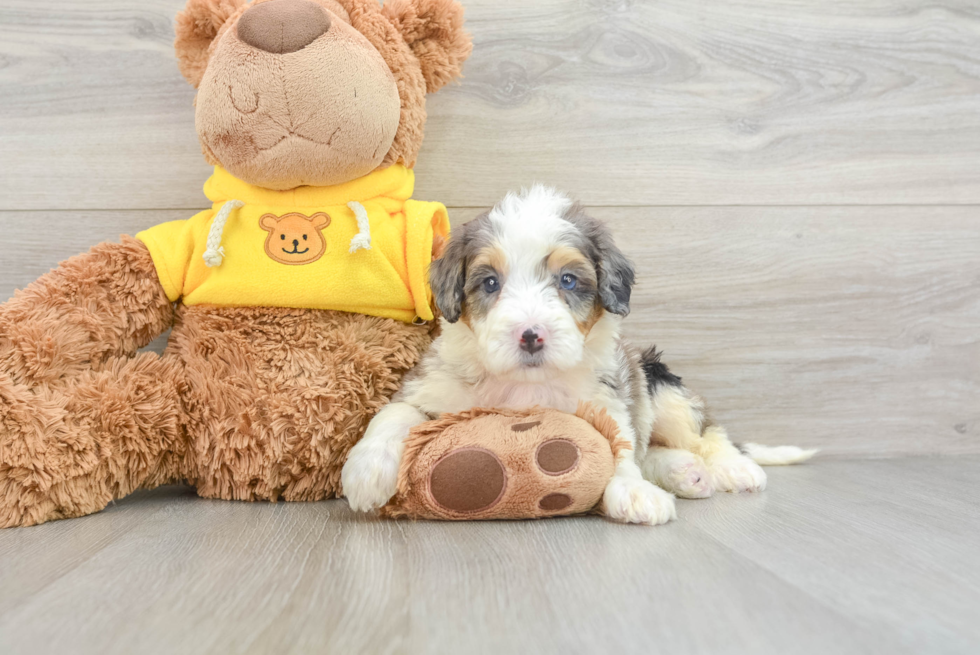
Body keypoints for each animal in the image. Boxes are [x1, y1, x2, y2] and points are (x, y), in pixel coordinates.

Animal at [340, 187, 816, 524]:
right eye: (490, 283)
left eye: (568, 280)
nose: (531, 336)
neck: (525, 384)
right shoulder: (432, 385)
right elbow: (394, 414)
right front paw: (366, 471)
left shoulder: (607, 398)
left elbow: (621, 446)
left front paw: (632, 492)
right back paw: (685, 472)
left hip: (658, 381)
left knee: (706, 433)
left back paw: (733, 468)